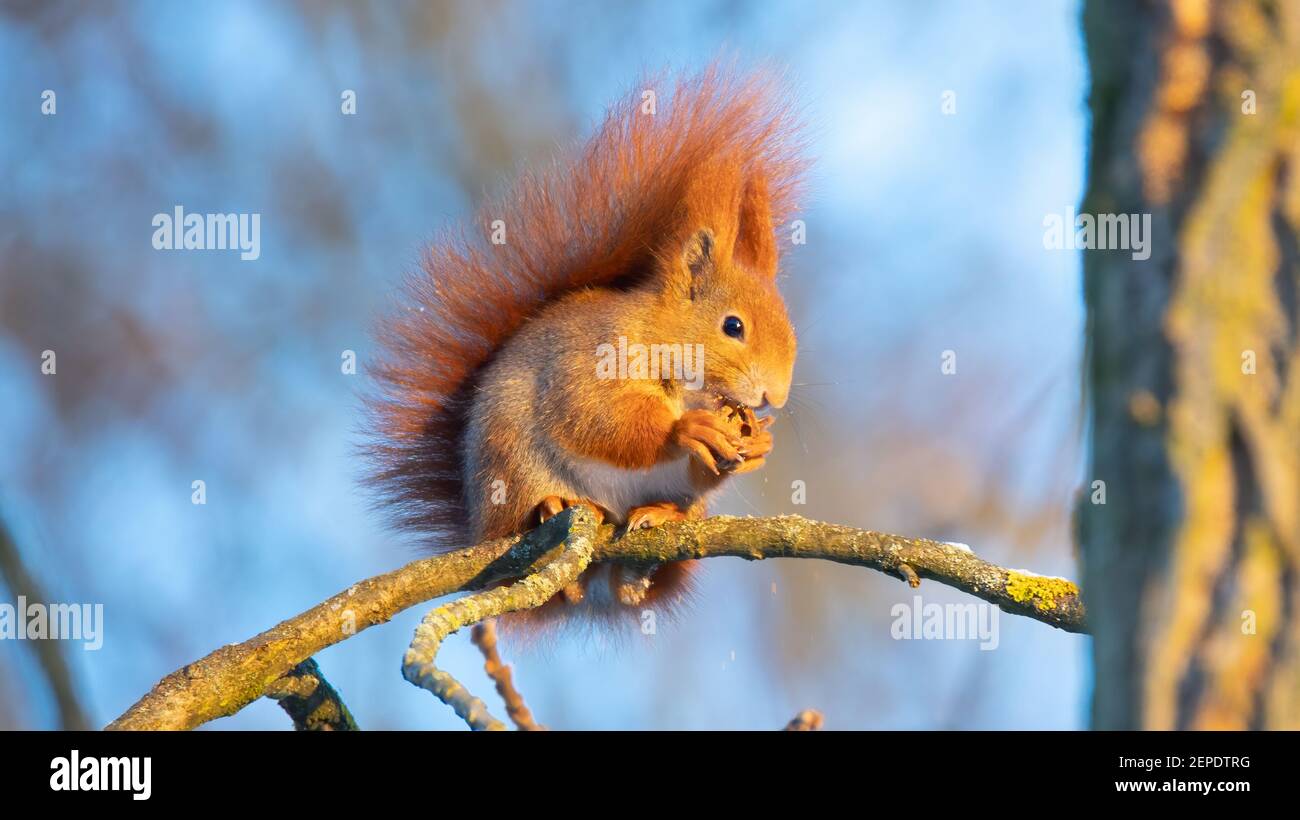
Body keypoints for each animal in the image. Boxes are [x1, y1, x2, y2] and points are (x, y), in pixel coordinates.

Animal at [366, 65, 806, 634]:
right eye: (733, 326)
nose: (775, 397)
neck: (659, 337)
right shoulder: (591, 359)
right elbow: (595, 418)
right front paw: (687, 429)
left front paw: (758, 444)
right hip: (511, 463)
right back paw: (555, 505)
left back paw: (661, 521)